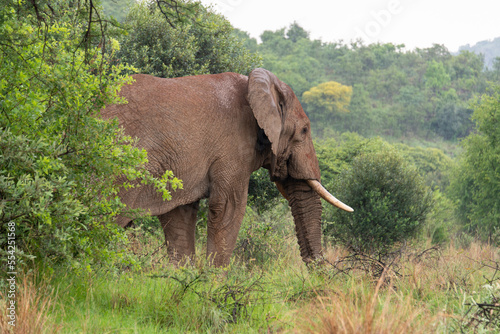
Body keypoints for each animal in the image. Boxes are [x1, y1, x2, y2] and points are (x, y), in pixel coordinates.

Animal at [102, 68, 352, 266]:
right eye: (304, 131)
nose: (318, 273)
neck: (254, 86)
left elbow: (180, 214)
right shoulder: (233, 147)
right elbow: (228, 208)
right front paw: (212, 285)